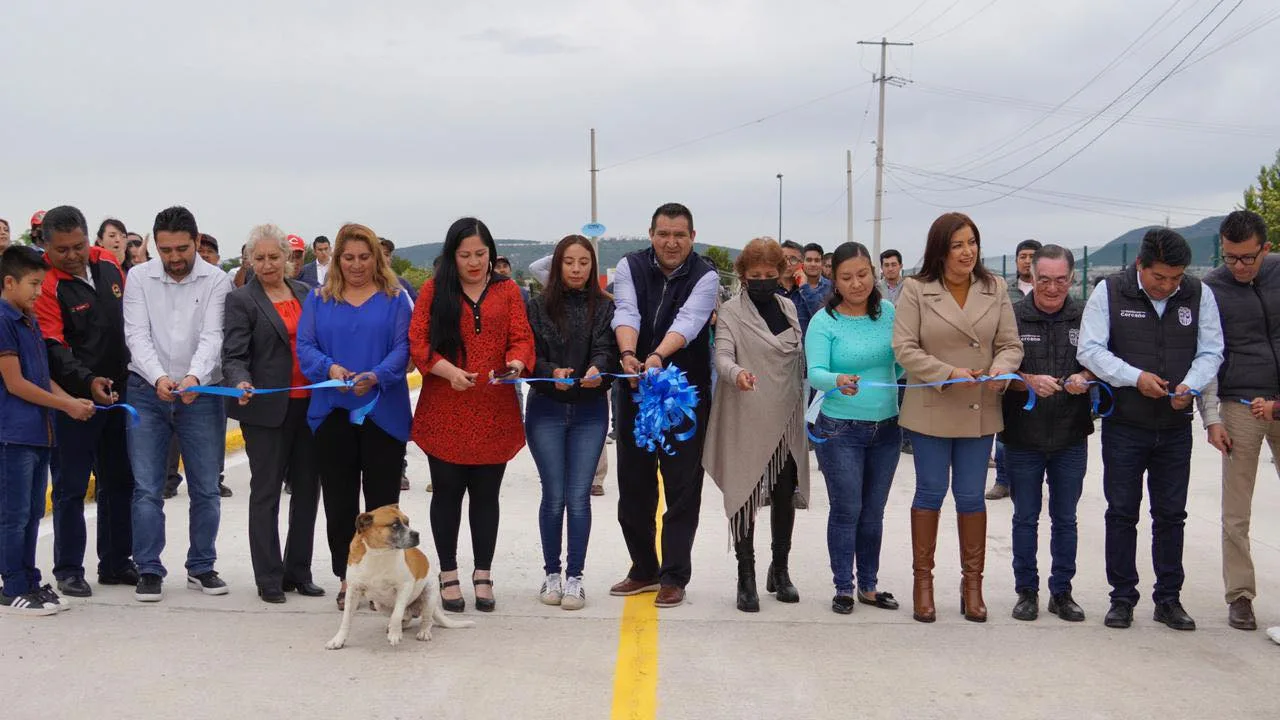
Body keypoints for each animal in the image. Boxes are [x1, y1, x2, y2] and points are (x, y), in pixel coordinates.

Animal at [325, 502, 476, 648]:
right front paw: (338, 640)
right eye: (395, 525)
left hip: (429, 596)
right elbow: (346, 619)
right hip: (379, 605)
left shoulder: (405, 586)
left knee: (425, 618)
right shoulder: (352, 591)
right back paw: (400, 626)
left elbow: (397, 614)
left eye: (407, 522)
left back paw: (423, 632)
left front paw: (395, 634)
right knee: (407, 616)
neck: (379, 554)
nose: (417, 534)